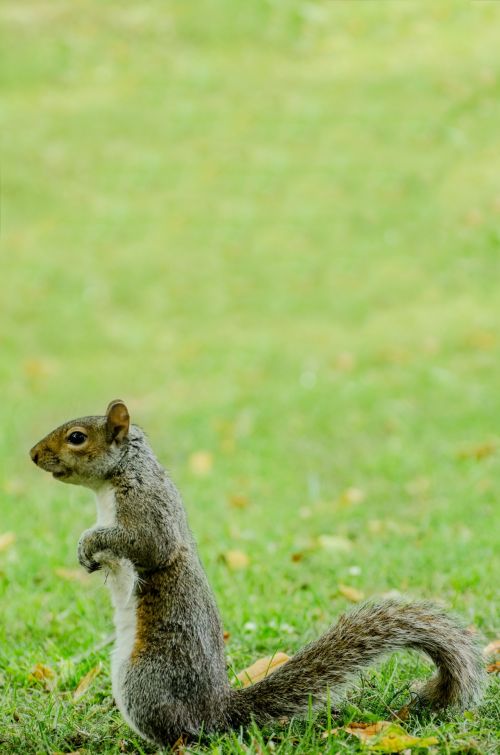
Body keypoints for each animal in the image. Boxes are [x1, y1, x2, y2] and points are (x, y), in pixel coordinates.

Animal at [29, 402, 486, 752]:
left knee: (183, 735)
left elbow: (148, 546)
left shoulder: (148, 509)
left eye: (76, 437)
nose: (33, 454)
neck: (118, 477)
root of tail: (216, 711)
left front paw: (90, 543)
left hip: (145, 680)